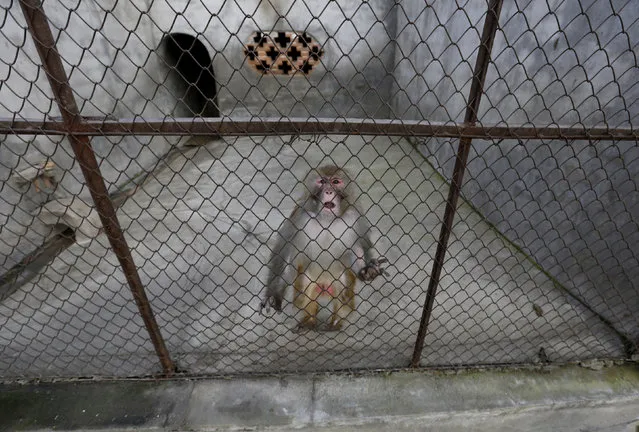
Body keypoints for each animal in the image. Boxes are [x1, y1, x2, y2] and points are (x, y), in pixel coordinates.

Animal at [262, 165, 390, 330]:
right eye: (322, 182)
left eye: (335, 182)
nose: (329, 191)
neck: (327, 221)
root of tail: (324, 287)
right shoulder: (299, 215)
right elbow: (284, 248)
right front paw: (274, 294)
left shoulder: (355, 217)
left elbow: (361, 245)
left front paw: (368, 271)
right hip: (310, 280)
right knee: (305, 291)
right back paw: (309, 321)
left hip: (337, 281)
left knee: (343, 292)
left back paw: (335, 323)